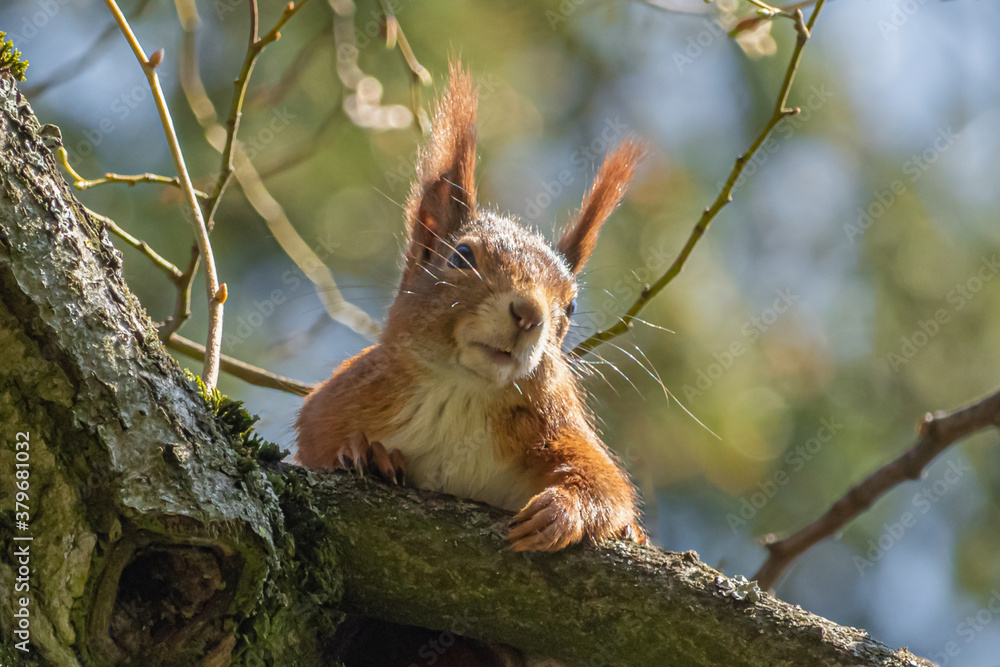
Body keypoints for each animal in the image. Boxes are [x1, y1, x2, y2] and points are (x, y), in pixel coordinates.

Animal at [295, 62, 646, 554]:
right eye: (461, 256)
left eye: (572, 306)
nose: (529, 314)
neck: (463, 391)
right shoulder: (337, 401)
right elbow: (314, 441)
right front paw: (365, 452)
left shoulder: (559, 424)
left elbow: (608, 485)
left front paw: (562, 511)